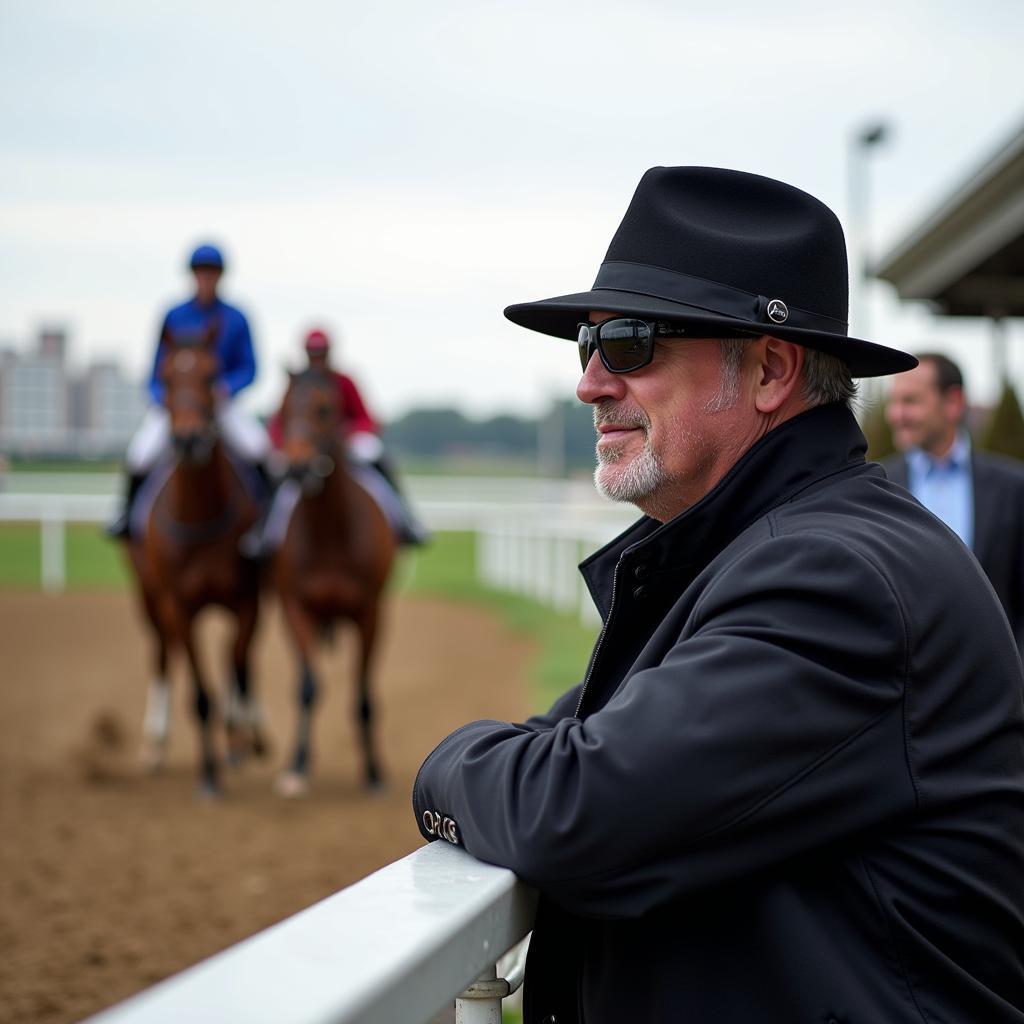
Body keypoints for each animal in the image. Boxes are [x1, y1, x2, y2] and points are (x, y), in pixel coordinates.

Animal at [130, 323, 266, 794]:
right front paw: (208, 775)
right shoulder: (180, 605)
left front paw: (240, 739)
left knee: (239, 661)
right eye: (168, 377)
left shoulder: (247, 600)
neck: (202, 516)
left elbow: (237, 663)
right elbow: (201, 693)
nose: (188, 440)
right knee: (160, 655)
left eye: (211, 376)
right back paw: (154, 744)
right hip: (149, 597)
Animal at [272, 364, 395, 794]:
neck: (330, 534)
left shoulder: (370, 612)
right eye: (283, 409)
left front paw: (374, 772)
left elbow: (363, 694)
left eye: (324, 408)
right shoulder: (295, 607)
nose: (296, 466)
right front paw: (297, 765)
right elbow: (308, 687)